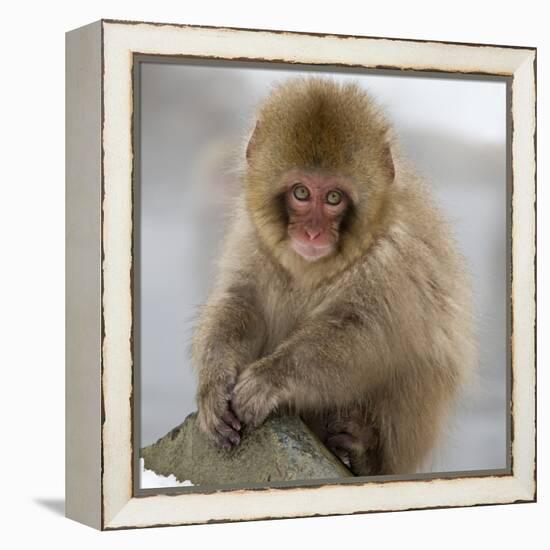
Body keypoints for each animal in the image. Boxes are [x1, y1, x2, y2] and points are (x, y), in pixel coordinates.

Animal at [192, 78, 476, 478]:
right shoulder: (252, 236)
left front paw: (270, 378)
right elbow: (241, 301)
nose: (313, 234)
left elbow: (363, 334)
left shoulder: (392, 258)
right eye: (300, 192)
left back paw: (363, 453)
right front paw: (214, 382)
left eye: (334, 198)